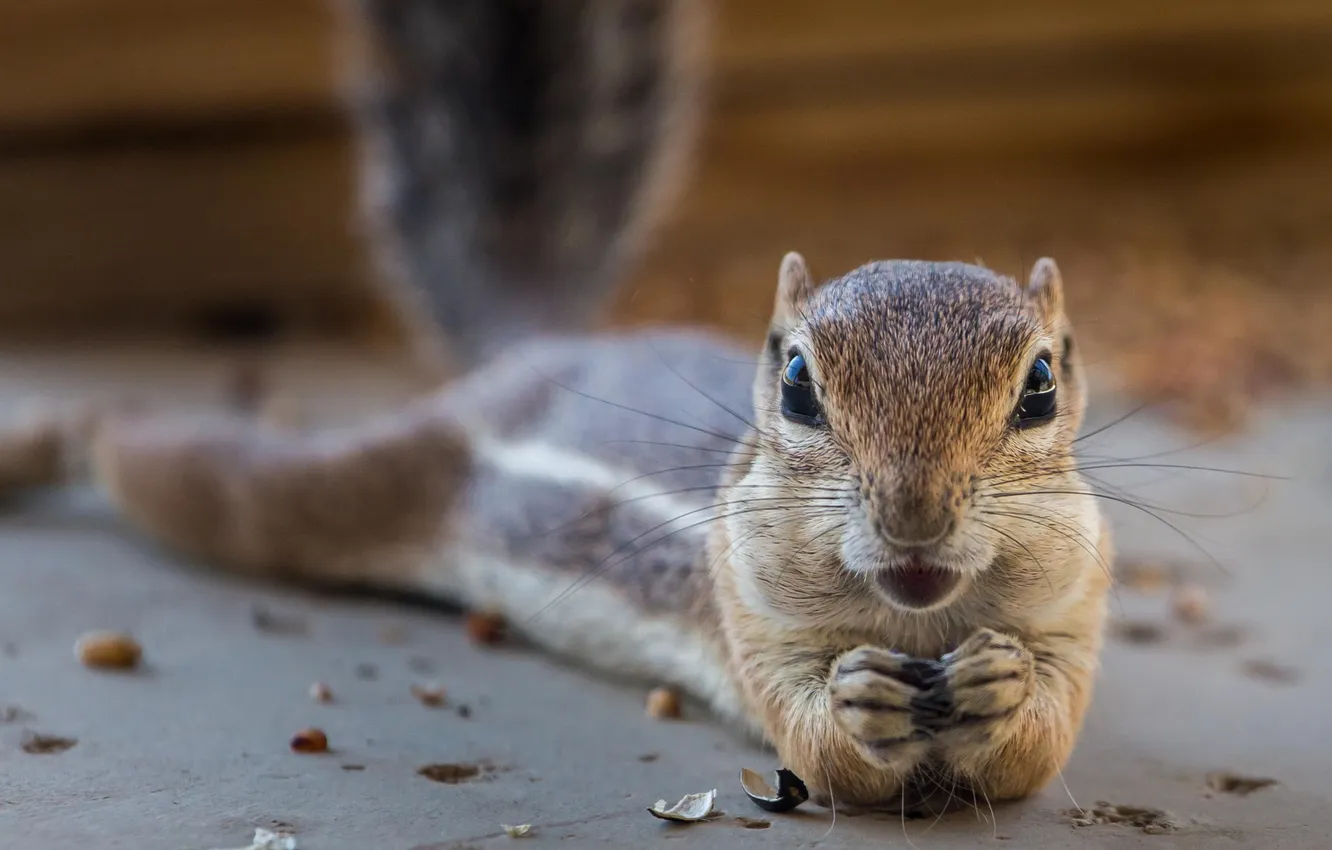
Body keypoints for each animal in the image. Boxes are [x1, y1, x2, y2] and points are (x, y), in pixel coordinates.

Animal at [0, 254, 1108, 810]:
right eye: (796, 382)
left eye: (1041, 386)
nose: (915, 517)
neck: (918, 620)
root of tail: (537, 354)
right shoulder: (746, 609)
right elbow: (818, 747)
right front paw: (856, 698)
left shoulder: (1075, 608)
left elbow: (1041, 746)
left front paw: (1001, 686)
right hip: (329, 491)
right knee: (159, 459)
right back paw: (53, 438)